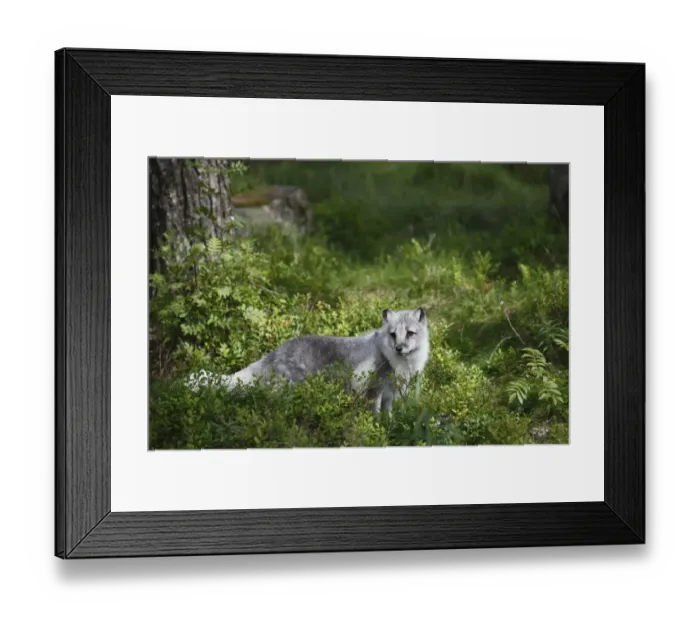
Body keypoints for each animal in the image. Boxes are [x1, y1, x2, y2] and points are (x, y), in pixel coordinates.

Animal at [186, 307, 430, 415]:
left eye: (409, 333)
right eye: (393, 334)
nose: (399, 348)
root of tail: (276, 351)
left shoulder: (390, 393)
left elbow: (388, 413)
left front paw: (389, 426)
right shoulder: (373, 389)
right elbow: (375, 412)